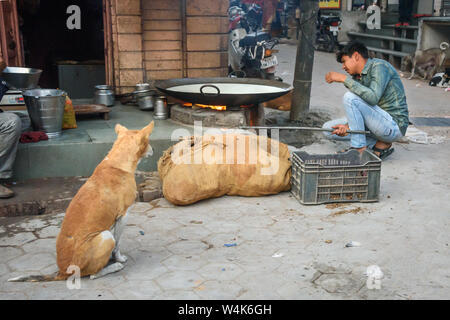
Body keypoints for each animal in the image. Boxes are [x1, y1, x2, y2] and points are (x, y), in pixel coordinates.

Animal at [8, 121, 156, 282]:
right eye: (148, 141)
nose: (154, 150)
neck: (117, 162)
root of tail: (62, 273)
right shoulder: (124, 215)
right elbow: (118, 243)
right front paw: (118, 258)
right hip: (105, 237)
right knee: (93, 275)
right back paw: (115, 266)